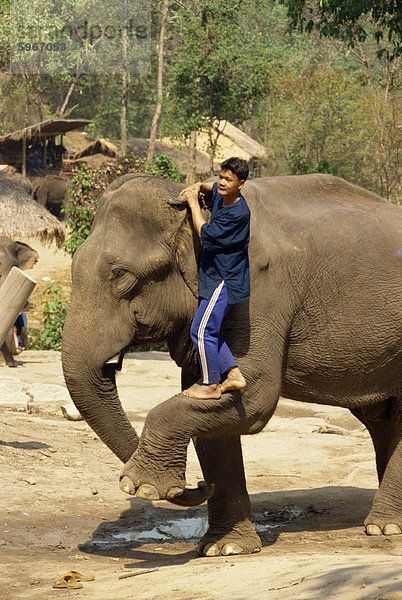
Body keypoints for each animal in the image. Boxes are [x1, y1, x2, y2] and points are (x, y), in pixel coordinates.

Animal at [62, 173, 402, 556]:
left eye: (121, 275)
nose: (197, 485)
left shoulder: (258, 289)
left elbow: (254, 397)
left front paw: (143, 487)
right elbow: (205, 406)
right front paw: (224, 548)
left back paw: (383, 527)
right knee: (382, 418)